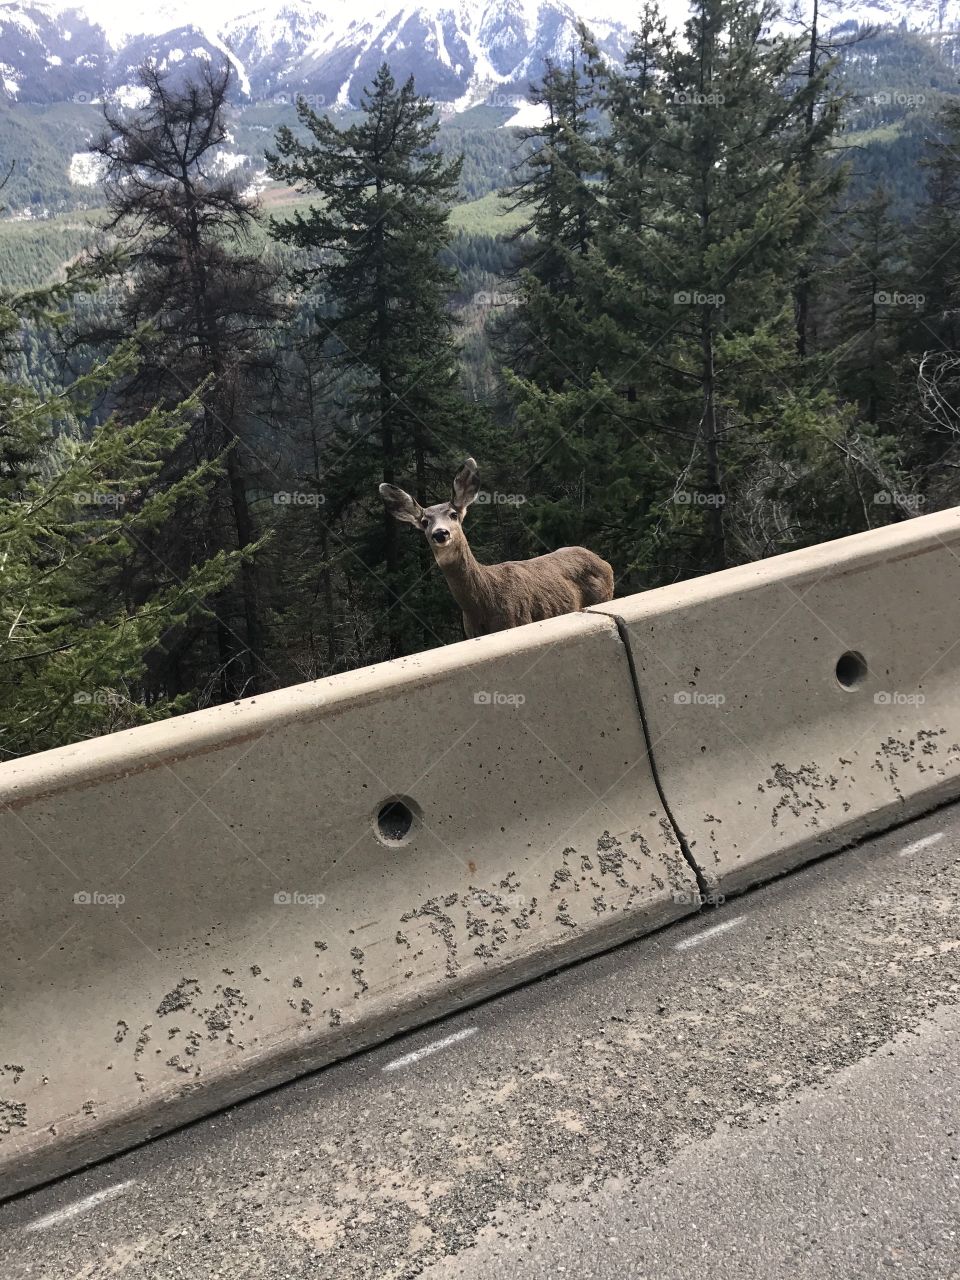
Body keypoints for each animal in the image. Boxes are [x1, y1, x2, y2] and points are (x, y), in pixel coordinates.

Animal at [379, 458, 615, 638]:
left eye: (453, 514)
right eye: (425, 522)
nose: (440, 533)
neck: (484, 604)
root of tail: (605, 562)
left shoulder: (518, 619)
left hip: (604, 595)